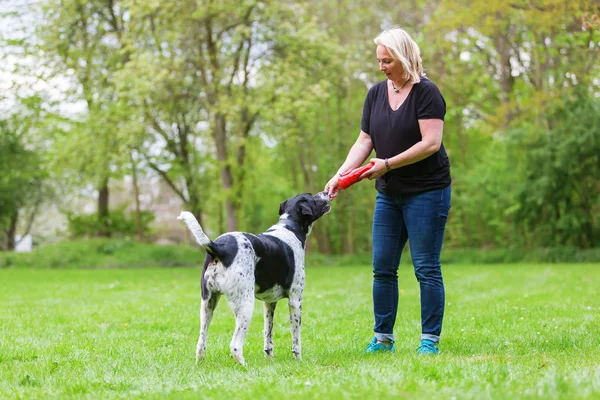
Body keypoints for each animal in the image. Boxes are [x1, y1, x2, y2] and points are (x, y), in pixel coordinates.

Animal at [178, 191, 330, 366]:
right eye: (312, 196)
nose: (326, 192)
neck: (290, 227)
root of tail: (219, 248)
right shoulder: (295, 300)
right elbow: (296, 339)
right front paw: (298, 360)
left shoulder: (269, 303)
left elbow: (268, 336)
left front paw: (270, 359)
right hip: (246, 305)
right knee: (235, 345)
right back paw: (244, 366)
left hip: (208, 305)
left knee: (201, 342)